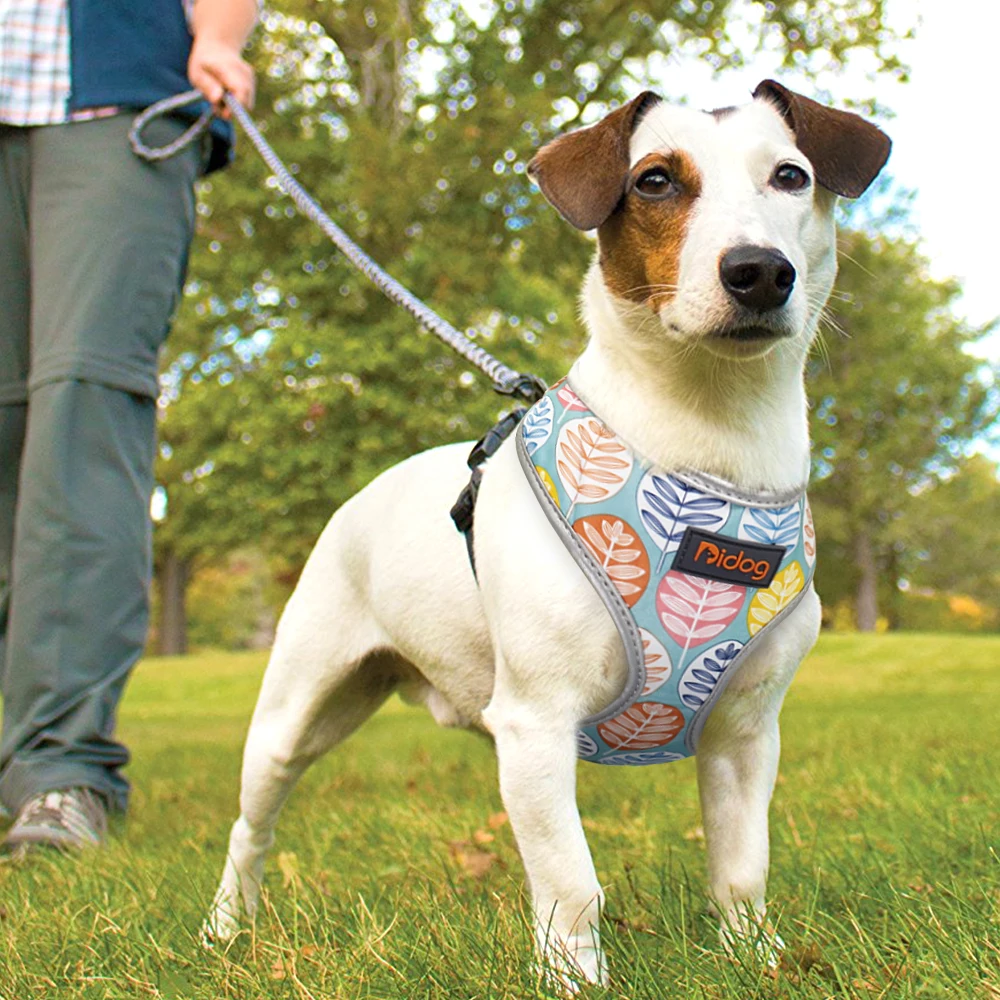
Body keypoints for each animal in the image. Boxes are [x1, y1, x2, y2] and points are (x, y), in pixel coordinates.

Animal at [203, 80, 892, 992]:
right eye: (654, 181)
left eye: (791, 175)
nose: (758, 271)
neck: (710, 449)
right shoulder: (535, 724)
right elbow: (570, 880)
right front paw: (573, 976)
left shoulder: (746, 734)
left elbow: (742, 867)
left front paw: (754, 958)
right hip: (295, 710)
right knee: (251, 827)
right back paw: (224, 927)